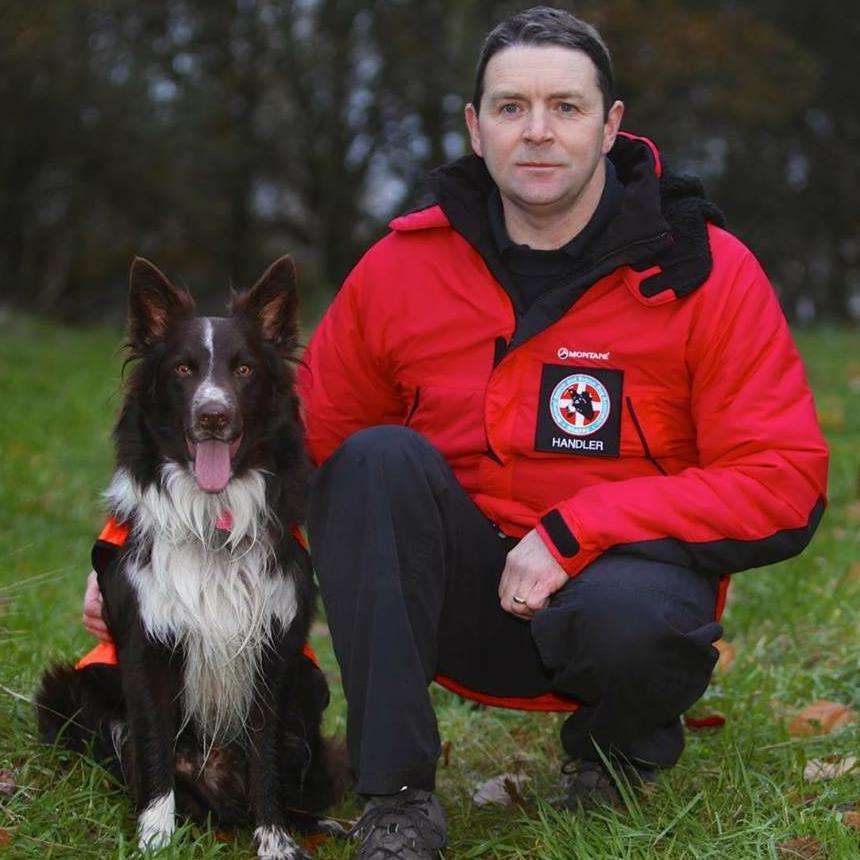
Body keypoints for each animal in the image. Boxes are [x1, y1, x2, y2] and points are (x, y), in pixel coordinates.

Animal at [37, 256, 344, 860]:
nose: (213, 416)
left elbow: (266, 760)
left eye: (244, 370)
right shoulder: (146, 646)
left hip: (311, 690)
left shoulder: (274, 651)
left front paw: (274, 841)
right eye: (182, 369)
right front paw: (156, 838)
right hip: (67, 691)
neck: (212, 518)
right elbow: (154, 746)